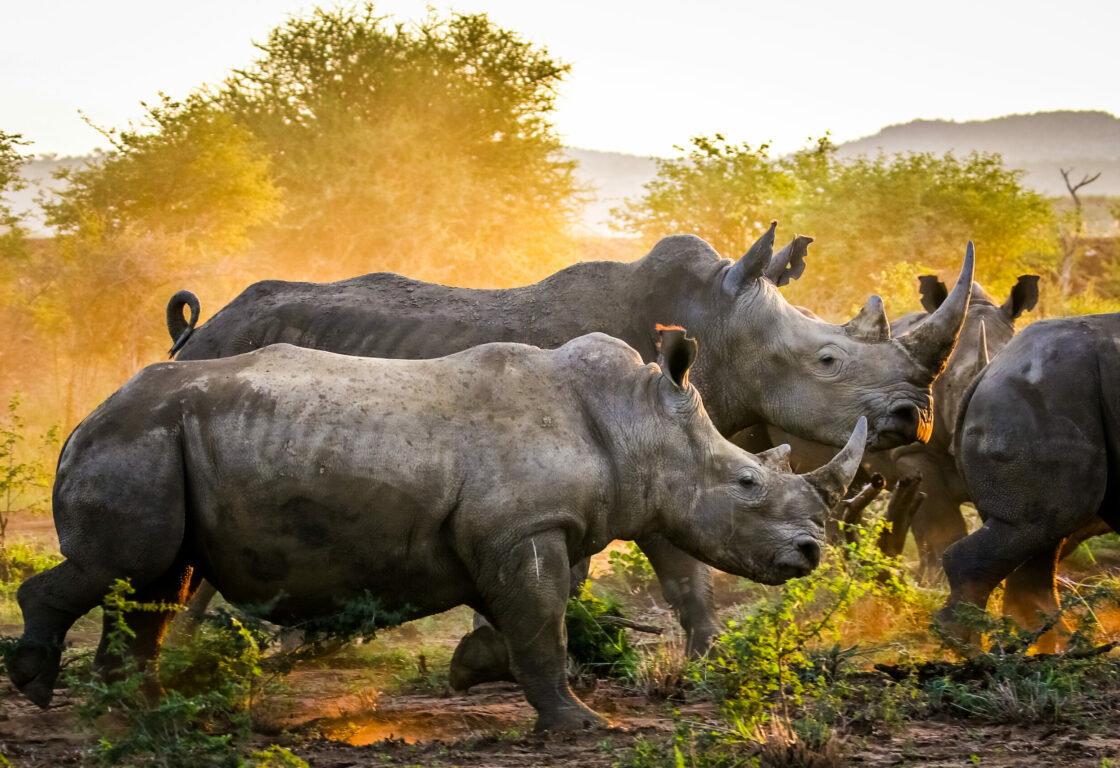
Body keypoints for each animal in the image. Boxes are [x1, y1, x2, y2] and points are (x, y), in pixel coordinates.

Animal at [10, 328, 867, 731]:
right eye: (747, 484)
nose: (809, 553)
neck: (635, 422)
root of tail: (88, 417)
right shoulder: (522, 526)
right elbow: (543, 626)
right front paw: (581, 725)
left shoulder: (521, 529)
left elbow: (531, 619)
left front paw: (471, 670)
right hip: (138, 440)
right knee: (126, 565)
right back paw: (38, 689)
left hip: (163, 442)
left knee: (155, 579)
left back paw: (137, 711)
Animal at [162, 225, 975, 661]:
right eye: (828, 361)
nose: (913, 417)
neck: (715, 325)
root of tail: (198, 330)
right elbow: (649, 564)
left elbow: (679, 573)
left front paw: (702, 659)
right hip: (229, 363)